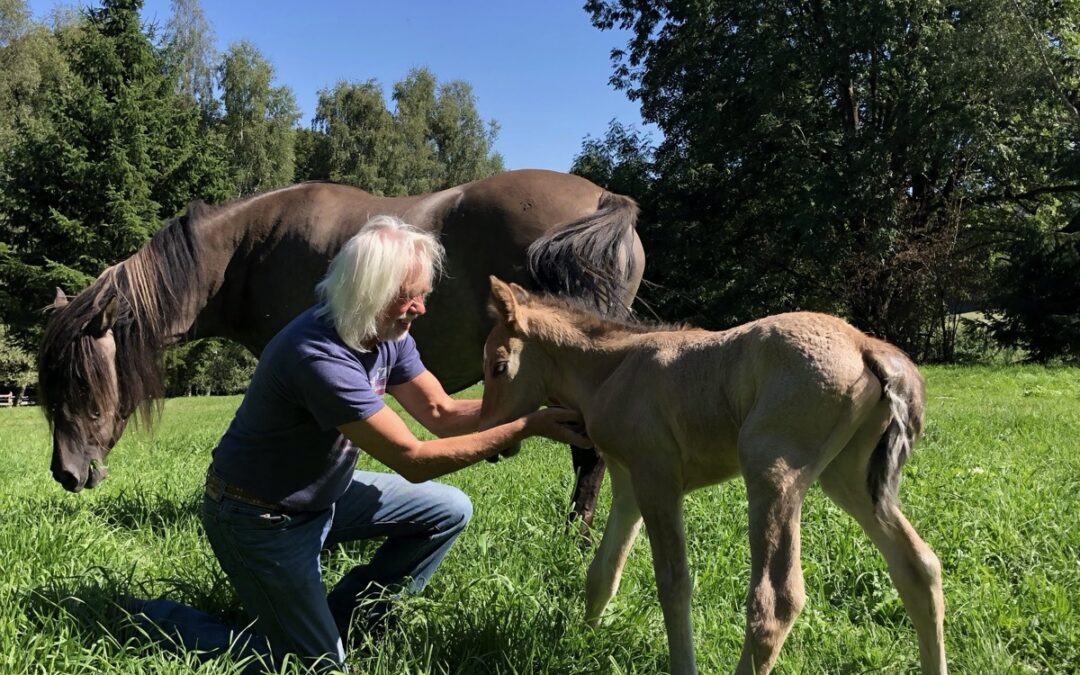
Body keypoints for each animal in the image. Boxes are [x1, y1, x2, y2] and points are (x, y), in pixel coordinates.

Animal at [38, 168, 643, 527]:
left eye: (81, 382)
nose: (65, 473)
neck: (247, 252)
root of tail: (603, 198)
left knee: (590, 455)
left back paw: (577, 540)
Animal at [481, 278, 946, 673]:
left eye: (499, 366)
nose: (496, 441)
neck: (615, 367)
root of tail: (865, 345)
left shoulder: (657, 478)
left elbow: (673, 583)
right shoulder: (628, 484)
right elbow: (603, 570)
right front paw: (584, 640)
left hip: (770, 469)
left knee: (776, 601)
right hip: (847, 476)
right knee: (919, 566)